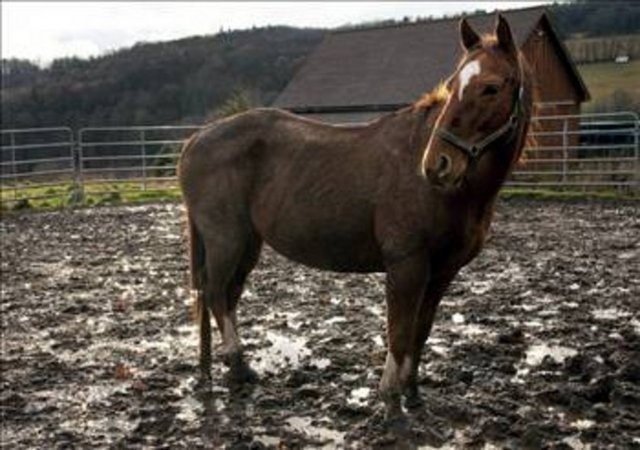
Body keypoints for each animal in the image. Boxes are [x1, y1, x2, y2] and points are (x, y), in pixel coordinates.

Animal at [178, 16, 532, 418]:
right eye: (453, 84)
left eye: (491, 87)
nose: (437, 164)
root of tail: (196, 139)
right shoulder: (406, 264)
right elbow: (399, 331)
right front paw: (391, 397)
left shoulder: (443, 272)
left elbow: (421, 331)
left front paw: (413, 392)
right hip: (226, 239)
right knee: (216, 294)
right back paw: (238, 365)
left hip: (248, 243)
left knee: (227, 296)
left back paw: (223, 369)